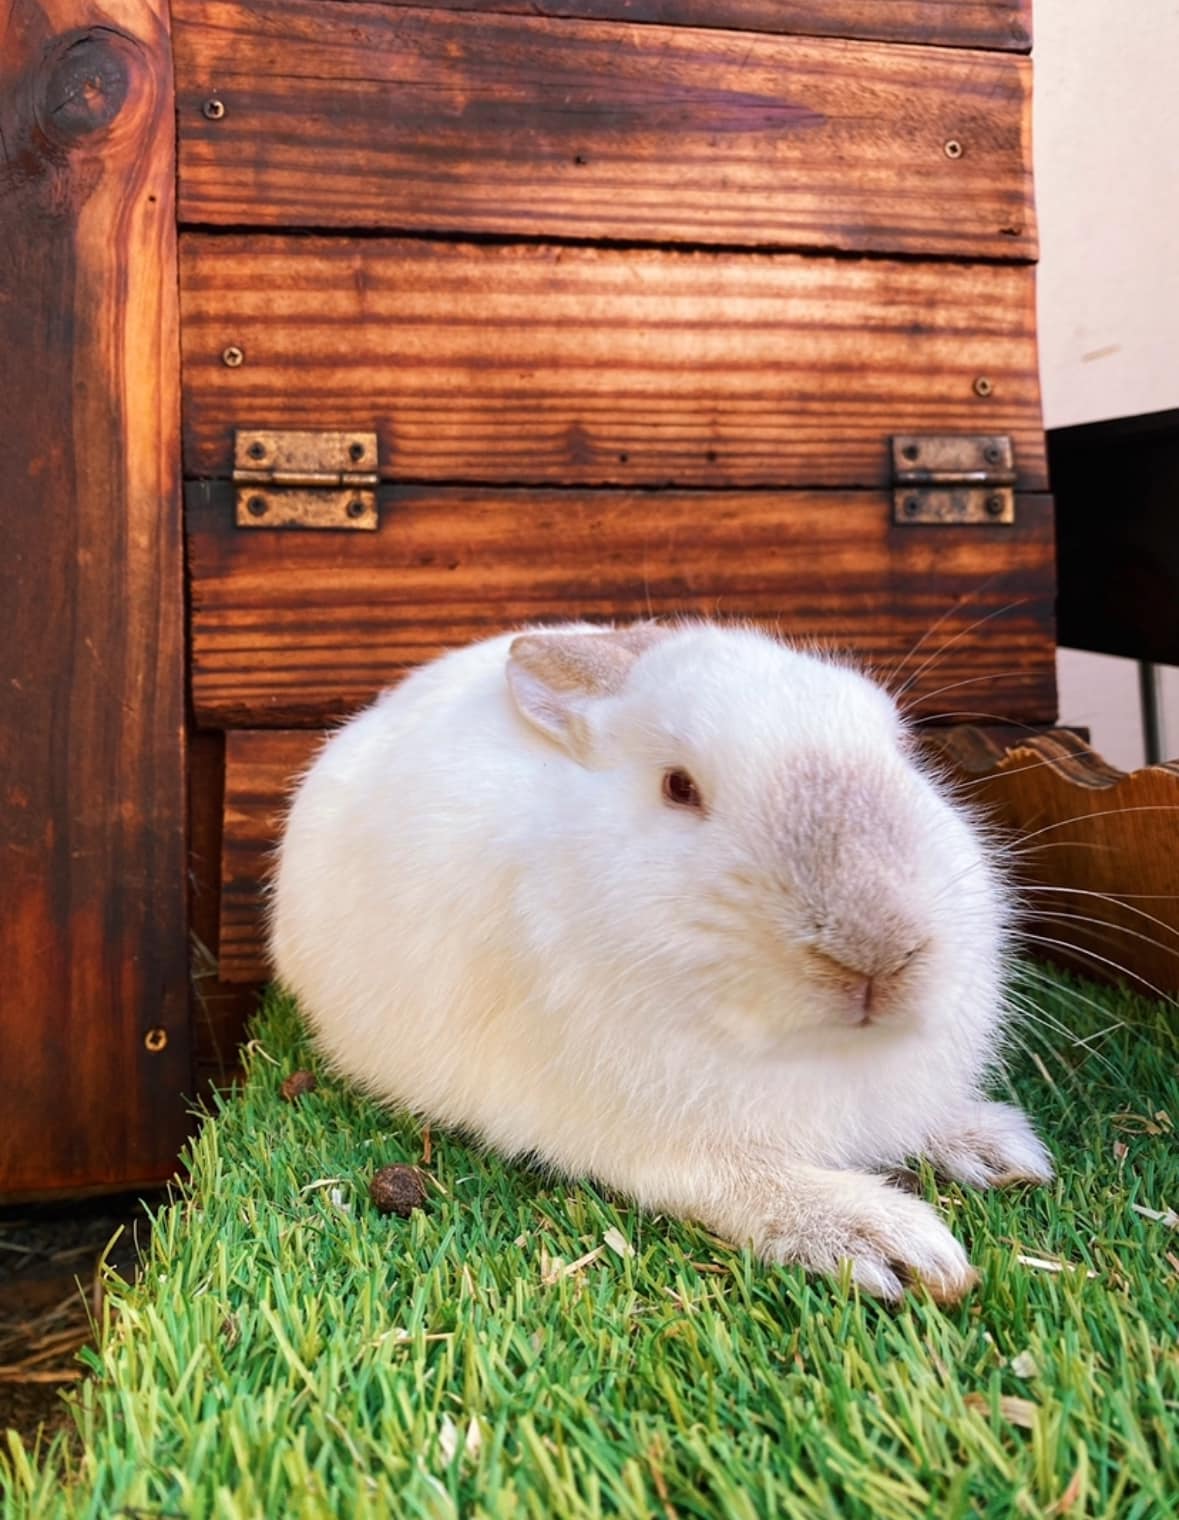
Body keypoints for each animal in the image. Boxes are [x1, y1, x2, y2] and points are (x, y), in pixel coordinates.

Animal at [271, 621, 1054, 1302]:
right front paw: (891, 1246)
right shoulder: (637, 1130)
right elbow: (742, 1178)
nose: (881, 954)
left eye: (902, 754)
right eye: (679, 787)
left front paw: (999, 1151)